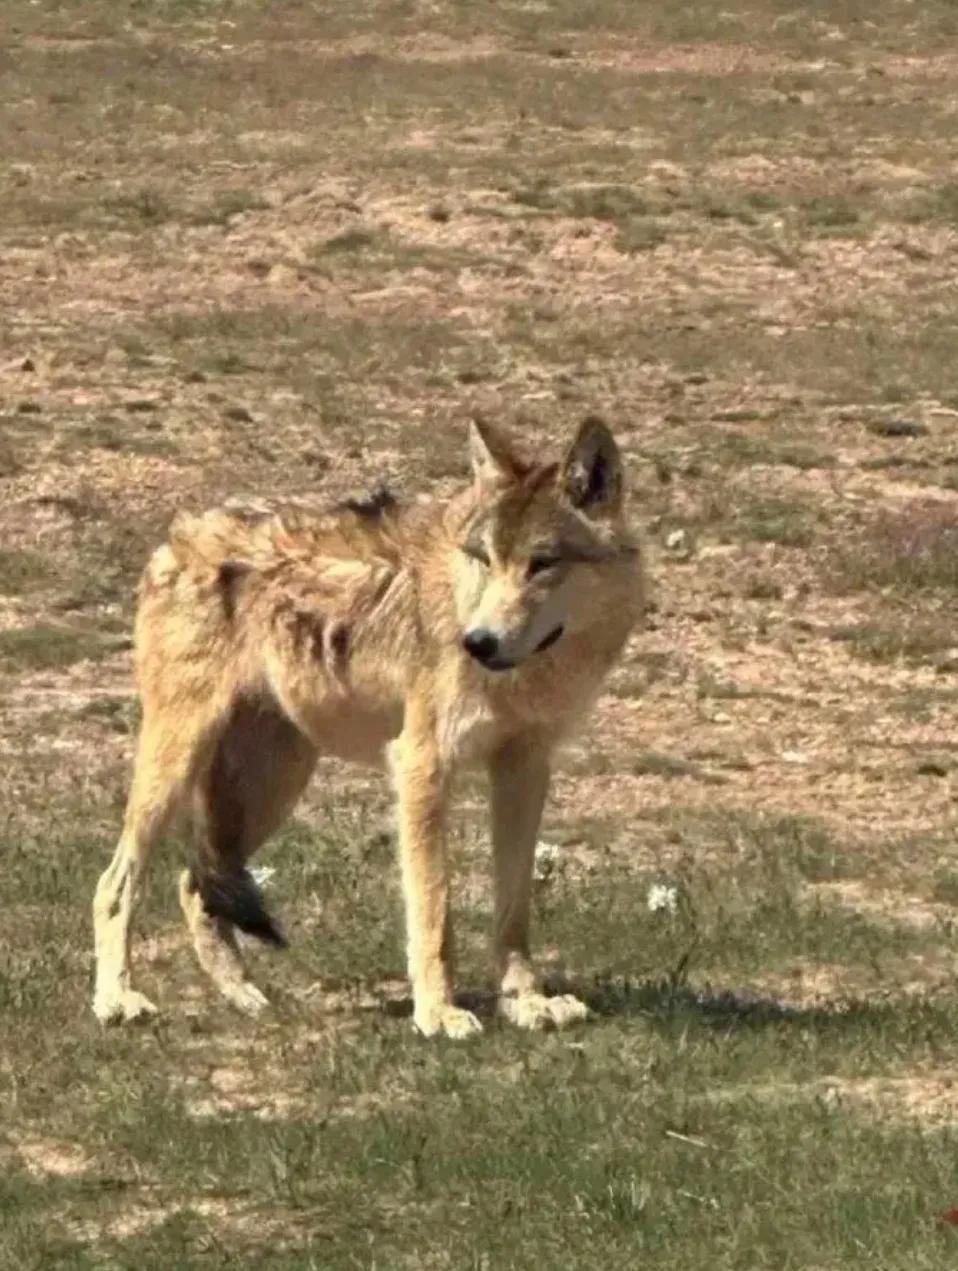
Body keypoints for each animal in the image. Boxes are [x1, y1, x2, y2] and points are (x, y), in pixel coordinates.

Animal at [93, 414, 645, 1032]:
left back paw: (244, 997)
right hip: (178, 765)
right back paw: (116, 999)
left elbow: (513, 908)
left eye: (542, 564)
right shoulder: (421, 765)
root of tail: (177, 534)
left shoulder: (525, 768)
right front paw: (439, 1013)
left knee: (194, 883)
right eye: (485, 559)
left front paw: (526, 1000)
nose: (477, 642)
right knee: (115, 883)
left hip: (273, 786)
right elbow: (434, 908)